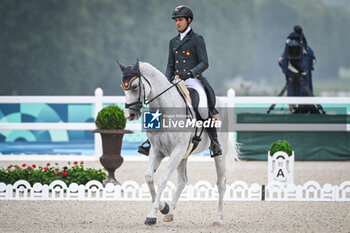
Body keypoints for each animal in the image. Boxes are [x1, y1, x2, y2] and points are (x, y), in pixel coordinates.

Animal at [117, 59, 238, 225]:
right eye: (123, 87)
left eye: (135, 86)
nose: (130, 114)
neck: (165, 110)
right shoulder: (157, 150)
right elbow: (149, 177)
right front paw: (163, 207)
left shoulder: (177, 150)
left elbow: (162, 180)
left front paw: (152, 215)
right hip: (184, 154)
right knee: (183, 180)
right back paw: (170, 212)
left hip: (218, 153)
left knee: (221, 182)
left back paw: (218, 218)